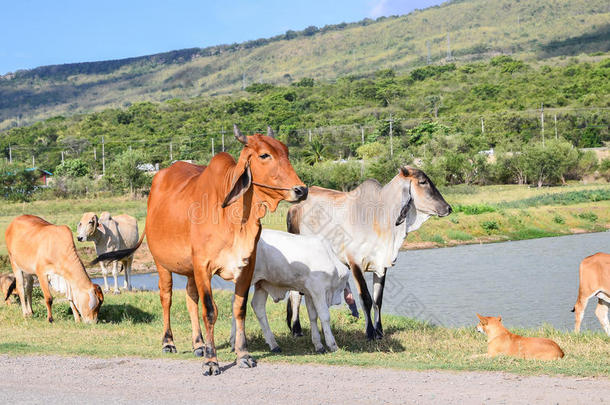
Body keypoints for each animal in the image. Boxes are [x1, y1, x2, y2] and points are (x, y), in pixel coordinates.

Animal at [93, 124, 306, 374]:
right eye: (264, 155)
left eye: (286, 152)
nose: (301, 190)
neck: (235, 217)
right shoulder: (203, 266)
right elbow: (210, 310)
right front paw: (212, 361)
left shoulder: (246, 266)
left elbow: (239, 308)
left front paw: (243, 355)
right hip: (162, 263)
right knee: (166, 297)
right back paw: (169, 342)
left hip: (189, 268)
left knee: (190, 298)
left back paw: (198, 344)